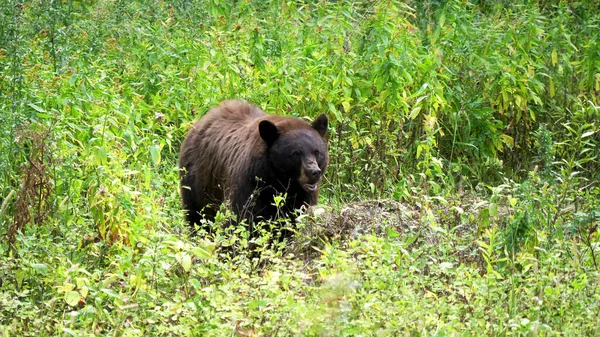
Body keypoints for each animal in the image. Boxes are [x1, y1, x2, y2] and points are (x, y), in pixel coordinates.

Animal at [178, 100, 328, 236]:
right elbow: (241, 220)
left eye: (316, 152)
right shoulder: (249, 183)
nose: (314, 172)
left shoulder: (302, 196)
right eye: (296, 154)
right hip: (198, 180)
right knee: (198, 214)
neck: (278, 180)